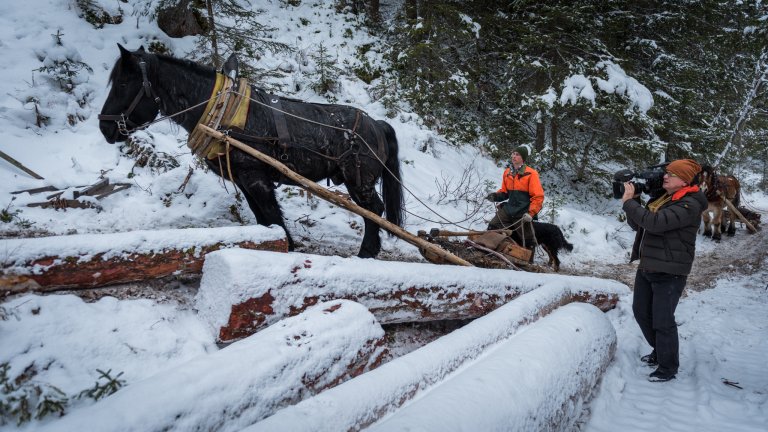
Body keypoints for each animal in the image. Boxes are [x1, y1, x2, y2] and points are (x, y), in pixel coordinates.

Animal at [99, 45, 404, 258]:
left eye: (124, 83)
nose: (104, 127)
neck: (223, 113)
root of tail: (376, 124)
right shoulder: (245, 180)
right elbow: (264, 221)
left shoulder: (256, 177)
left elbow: (273, 217)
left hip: (359, 180)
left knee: (373, 211)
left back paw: (366, 253)